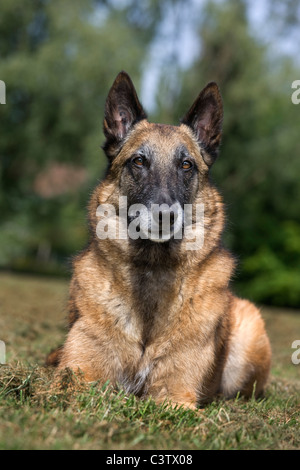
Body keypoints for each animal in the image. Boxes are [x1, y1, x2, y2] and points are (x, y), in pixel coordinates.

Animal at [45, 70, 272, 408]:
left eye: (186, 165)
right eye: (139, 161)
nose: (166, 215)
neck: (152, 269)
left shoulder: (175, 396)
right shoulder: (76, 379)